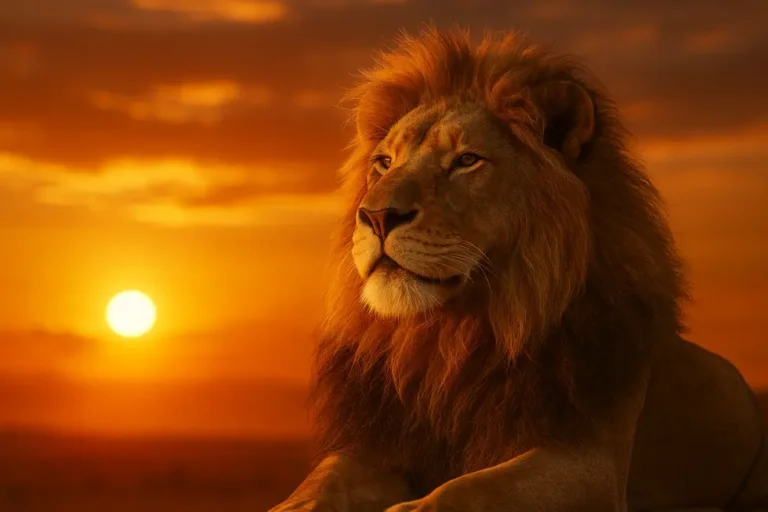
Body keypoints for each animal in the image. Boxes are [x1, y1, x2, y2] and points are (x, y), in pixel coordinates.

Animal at [269, 27, 768, 512]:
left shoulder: (591, 462)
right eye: (384, 163)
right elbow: (322, 481)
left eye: (466, 160)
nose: (374, 216)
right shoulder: (387, 446)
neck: (455, 337)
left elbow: (464, 491)